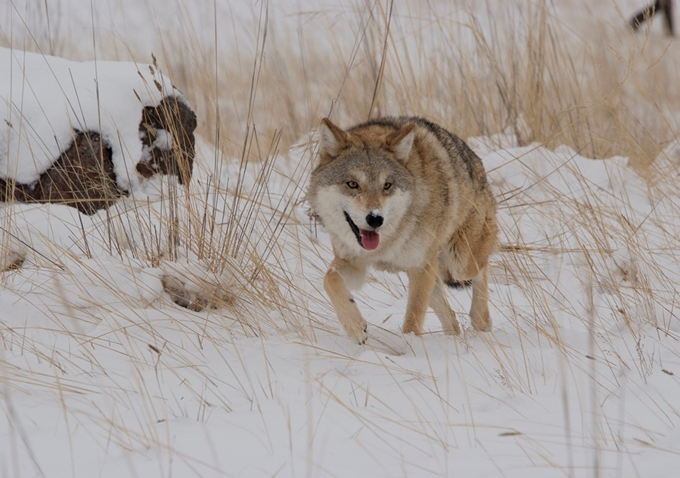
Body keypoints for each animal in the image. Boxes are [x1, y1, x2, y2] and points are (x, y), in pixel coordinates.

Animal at [308, 116, 498, 343]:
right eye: (352, 184)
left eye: (387, 185)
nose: (375, 219)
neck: (388, 241)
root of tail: (476, 159)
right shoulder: (354, 263)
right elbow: (330, 278)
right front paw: (354, 326)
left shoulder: (420, 267)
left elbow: (413, 320)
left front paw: (411, 346)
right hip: (433, 272)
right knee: (451, 318)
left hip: (459, 262)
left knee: (482, 270)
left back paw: (480, 321)